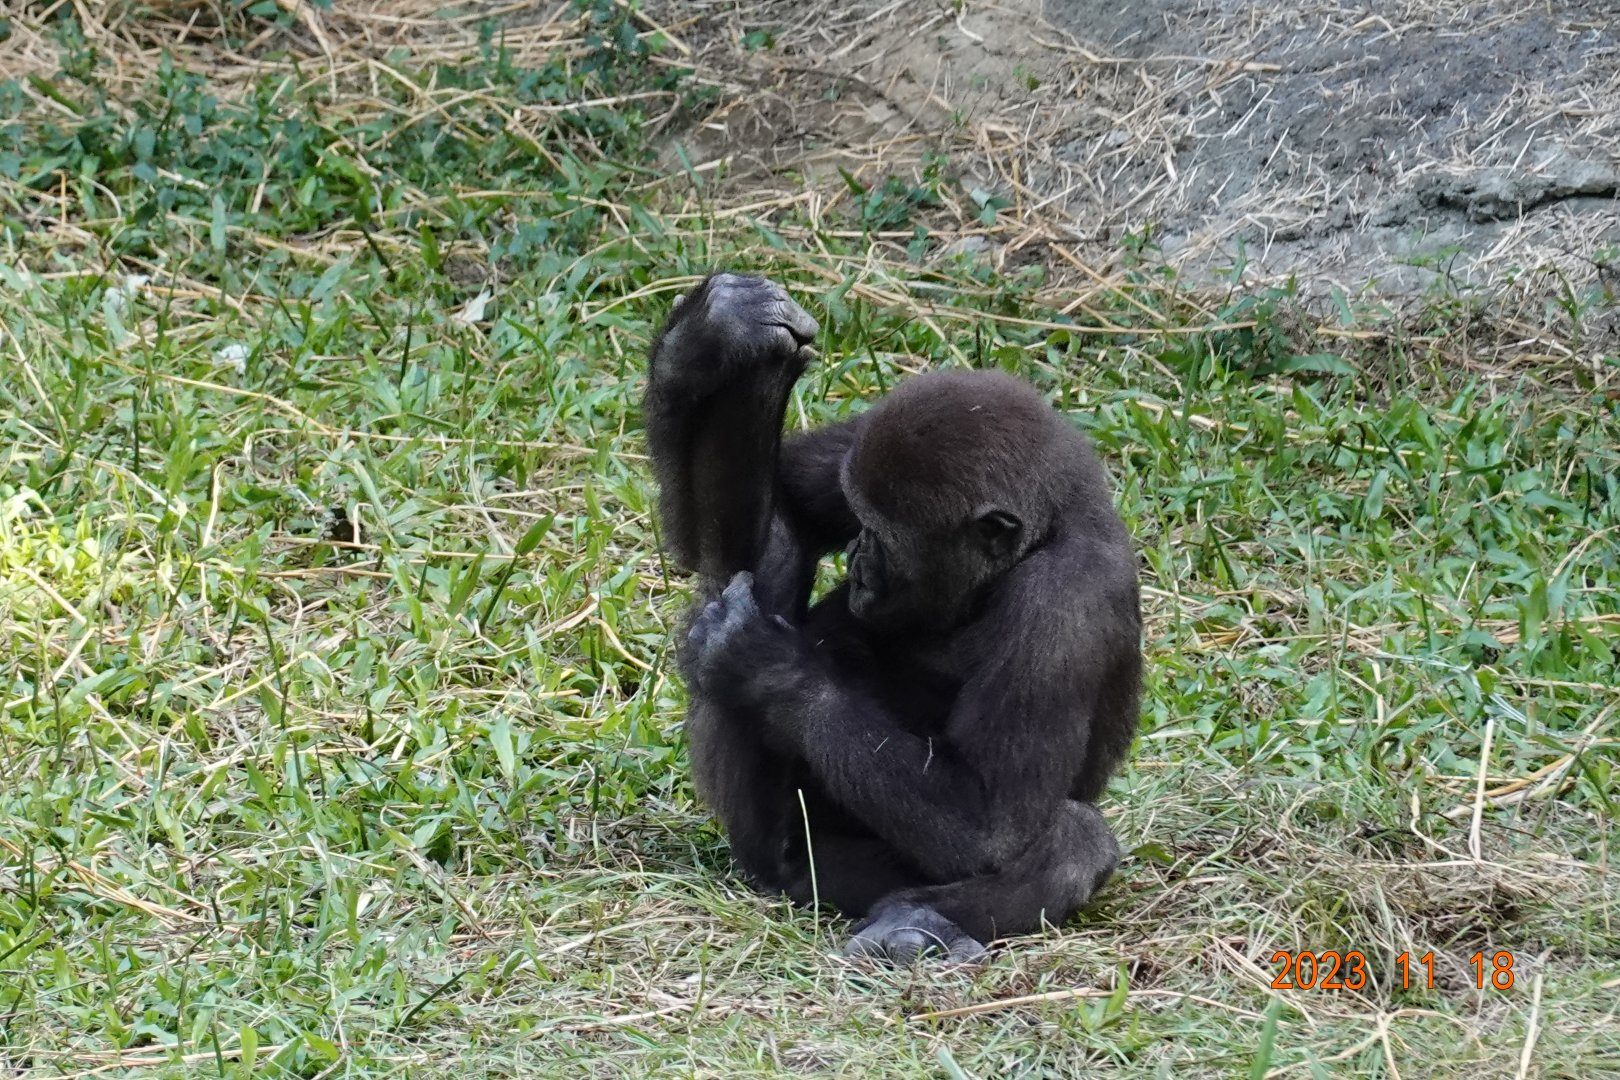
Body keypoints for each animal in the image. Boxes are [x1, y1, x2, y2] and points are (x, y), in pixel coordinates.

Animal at [643, 272, 1141, 963]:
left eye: (883, 537)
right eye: (860, 521)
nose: (857, 560)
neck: (1049, 525)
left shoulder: (1063, 603)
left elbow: (988, 825)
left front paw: (763, 662)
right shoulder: (863, 439)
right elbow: (764, 521)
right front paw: (705, 341)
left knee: (1075, 837)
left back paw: (918, 923)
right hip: (783, 846)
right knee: (765, 549)